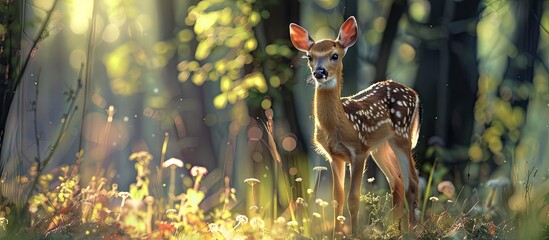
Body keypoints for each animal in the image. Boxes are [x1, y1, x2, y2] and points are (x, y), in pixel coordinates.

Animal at [292, 16, 420, 234]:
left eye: (334, 55)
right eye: (310, 57)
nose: (319, 72)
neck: (339, 125)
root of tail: (414, 93)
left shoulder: (359, 151)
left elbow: (353, 197)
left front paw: (356, 234)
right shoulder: (334, 155)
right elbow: (338, 198)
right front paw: (336, 234)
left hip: (402, 136)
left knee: (412, 181)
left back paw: (413, 230)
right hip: (380, 146)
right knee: (397, 181)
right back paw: (396, 230)